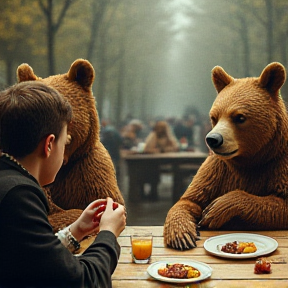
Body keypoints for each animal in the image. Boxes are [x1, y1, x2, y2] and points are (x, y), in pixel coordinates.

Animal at [163, 62, 288, 250]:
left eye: (240, 117)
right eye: (214, 117)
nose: (213, 139)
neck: (250, 159)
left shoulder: (279, 164)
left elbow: (279, 203)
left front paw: (215, 209)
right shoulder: (216, 169)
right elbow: (190, 199)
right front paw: (181, 235)